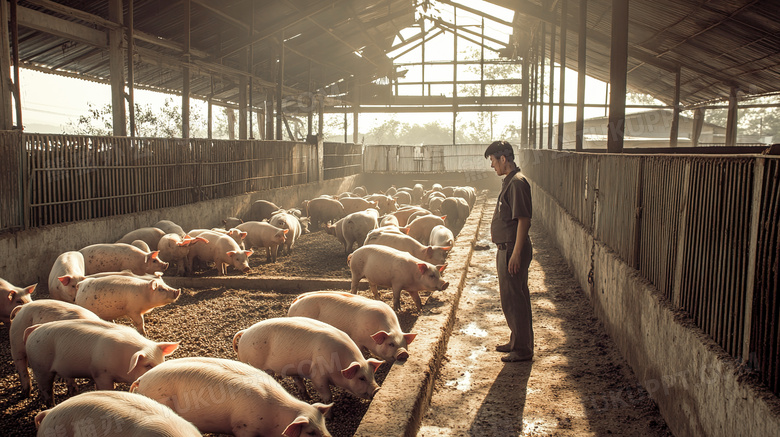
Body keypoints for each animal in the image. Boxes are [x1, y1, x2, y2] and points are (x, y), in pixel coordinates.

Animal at [24, 316, 180, 406]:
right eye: (147, 365)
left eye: (162, 360)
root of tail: (34, 330)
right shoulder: (101, 373)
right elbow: (106, 387)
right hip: (40, 366)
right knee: (46, 390)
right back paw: (51, 405)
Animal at [232, 316, 384, 406]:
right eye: (361, 378)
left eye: (372, 375)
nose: (377, 389)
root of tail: (244, 332)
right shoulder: (318, 376)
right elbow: (327, 396)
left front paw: (310, 399)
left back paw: (306, 397)